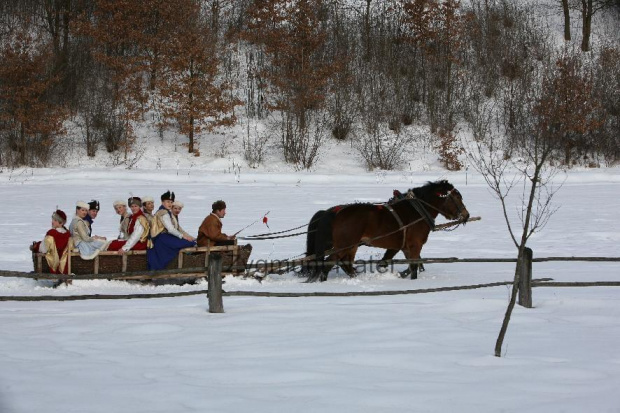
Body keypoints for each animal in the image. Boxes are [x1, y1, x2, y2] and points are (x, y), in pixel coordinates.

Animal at [304, 181, 470, 284]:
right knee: (328, 264)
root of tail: (335, 213)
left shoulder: (404, 247)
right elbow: (413, 267)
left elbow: (408, 265)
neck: (417, 211)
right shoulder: (415, 245)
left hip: (351, 246)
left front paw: (401, 274)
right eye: (456, 197)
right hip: (345, 245)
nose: (466, 215)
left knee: (345, 263)